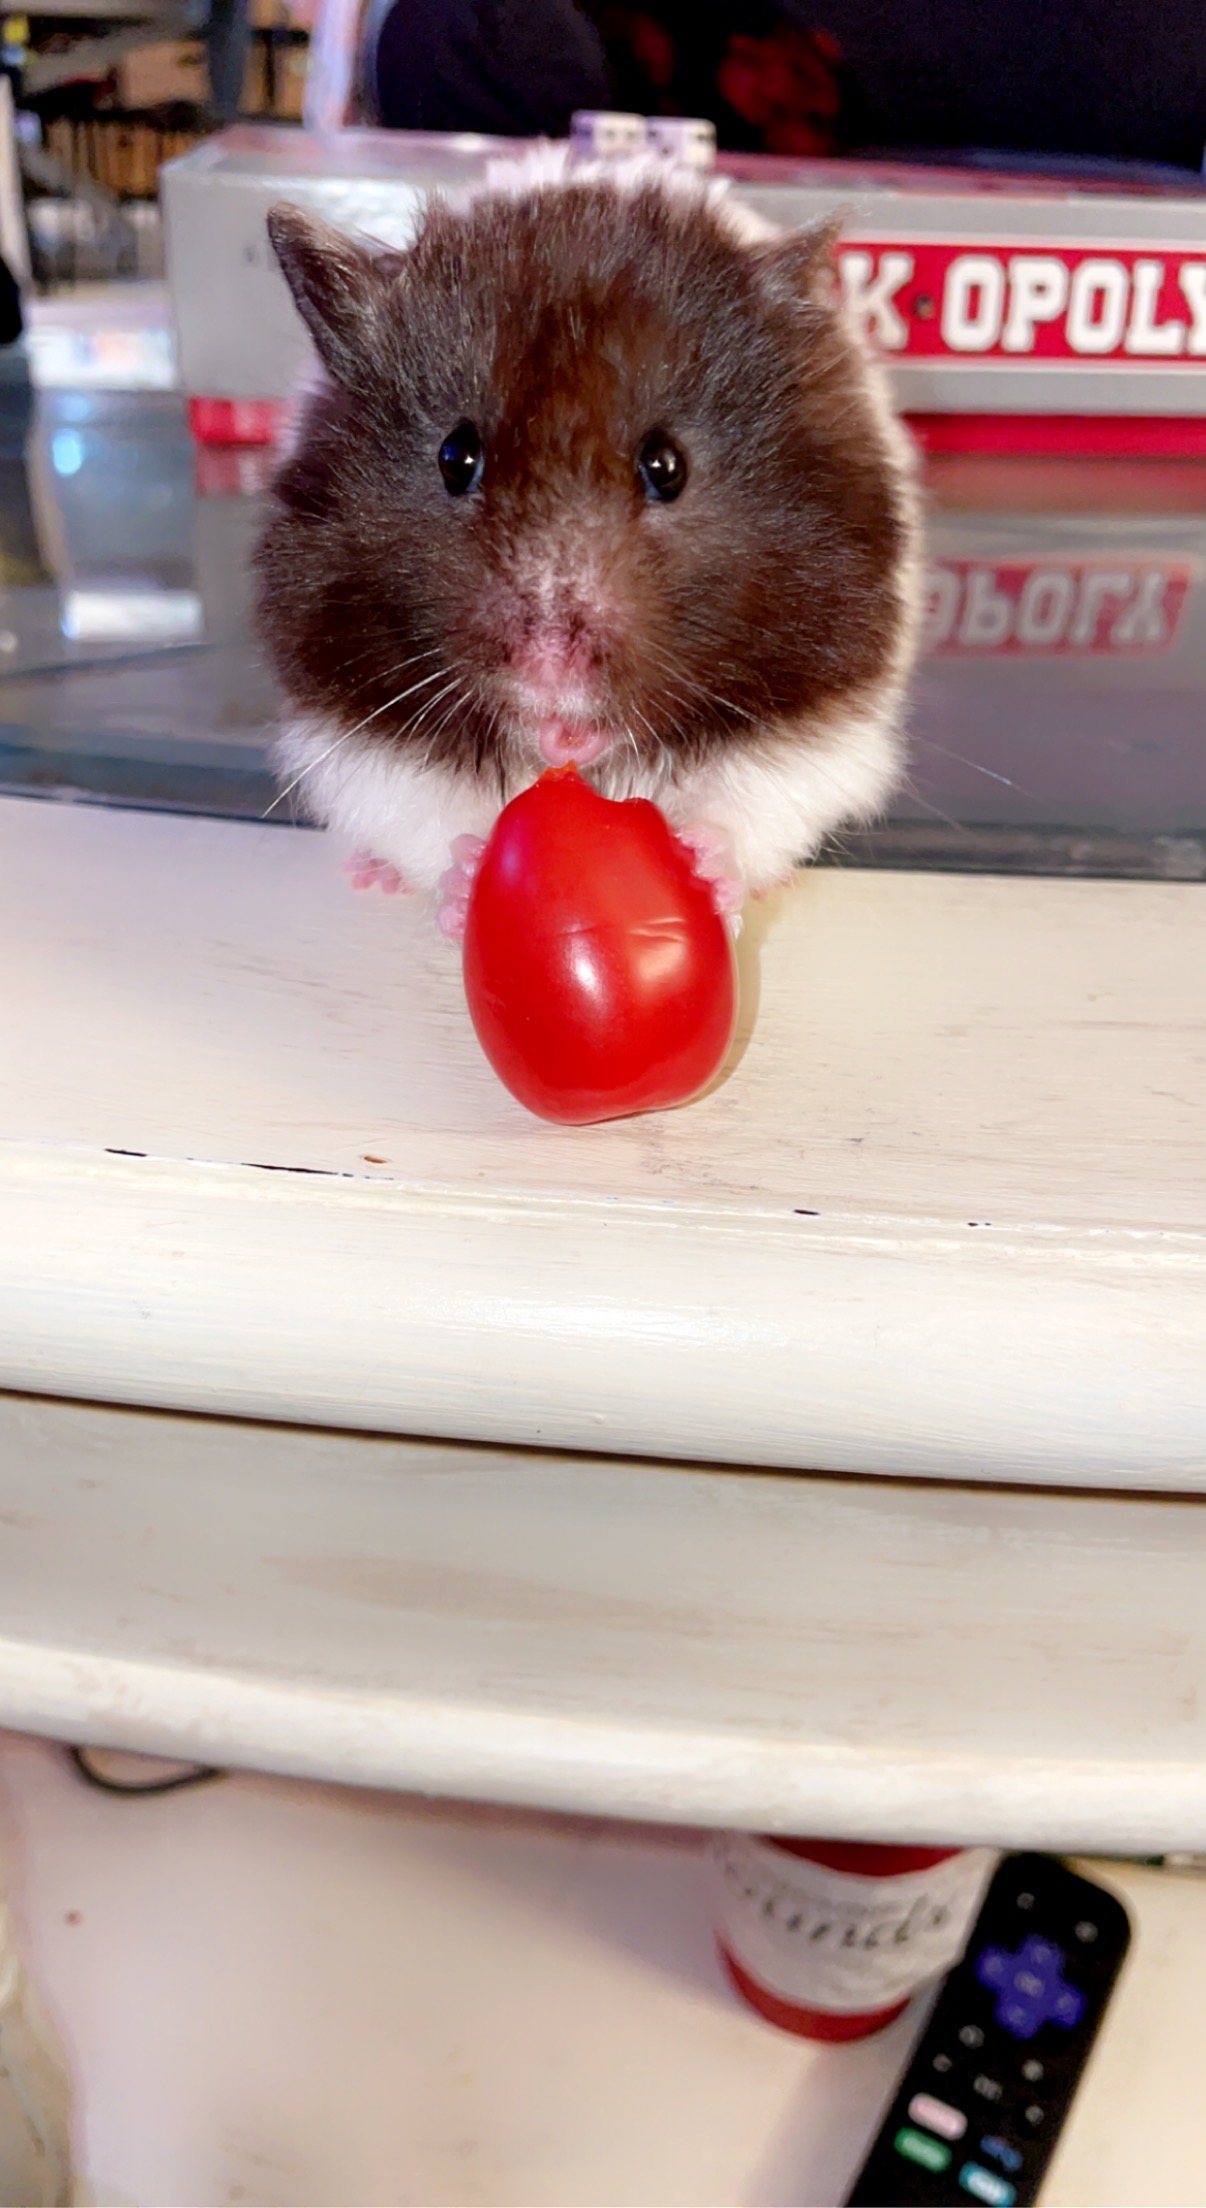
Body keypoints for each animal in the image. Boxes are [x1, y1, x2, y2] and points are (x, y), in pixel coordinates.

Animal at [254, 149, 921, 936]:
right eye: (455, 457)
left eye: (667, 466)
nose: (552, 691)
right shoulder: (350, 718)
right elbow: (424, 812)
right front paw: (467, 876)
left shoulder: (824, 707)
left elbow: (750, 801)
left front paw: (707, 870)